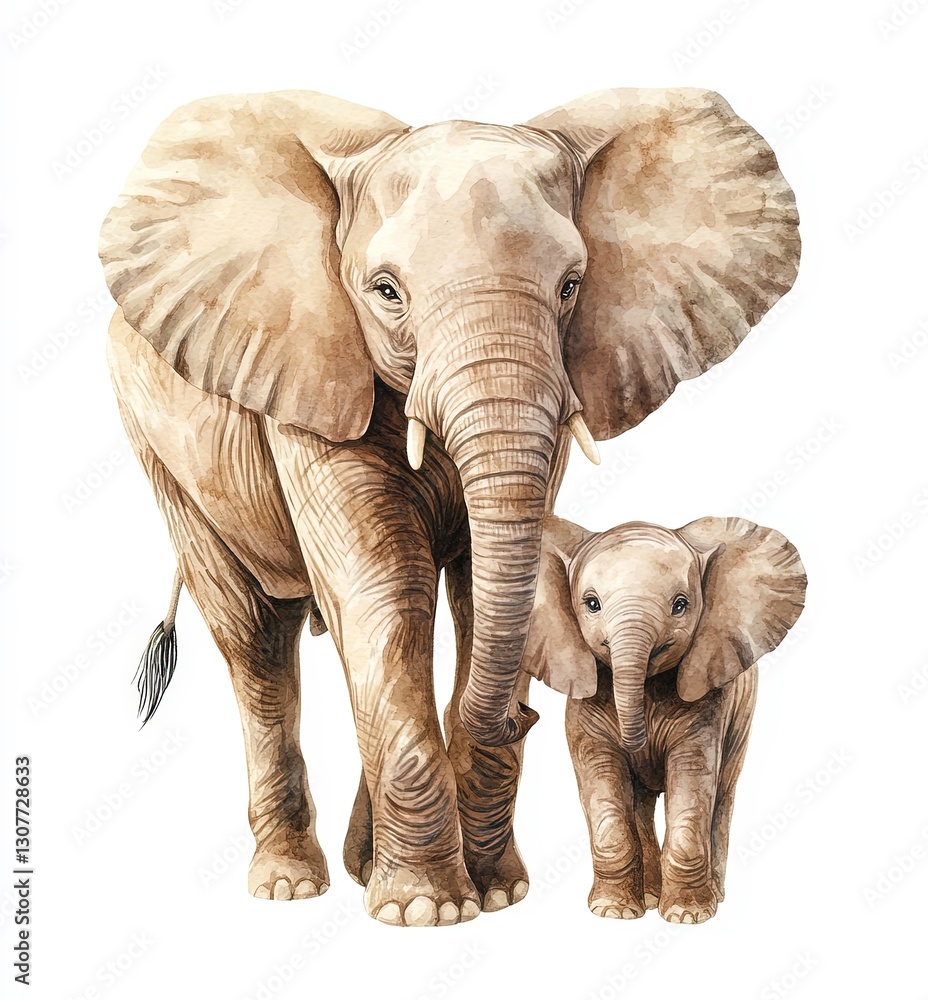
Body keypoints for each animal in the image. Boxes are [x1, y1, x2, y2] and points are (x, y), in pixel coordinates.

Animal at [521, 515, 806, 922]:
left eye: (681, 605)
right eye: (591, 604)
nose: (639, 747)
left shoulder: (708, 704)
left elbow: (692, 779)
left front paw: (688, 916)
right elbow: (602, 779)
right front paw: (614, 912)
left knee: (723, 793)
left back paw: (713, 896)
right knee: (640, 804)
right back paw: (649, 897)